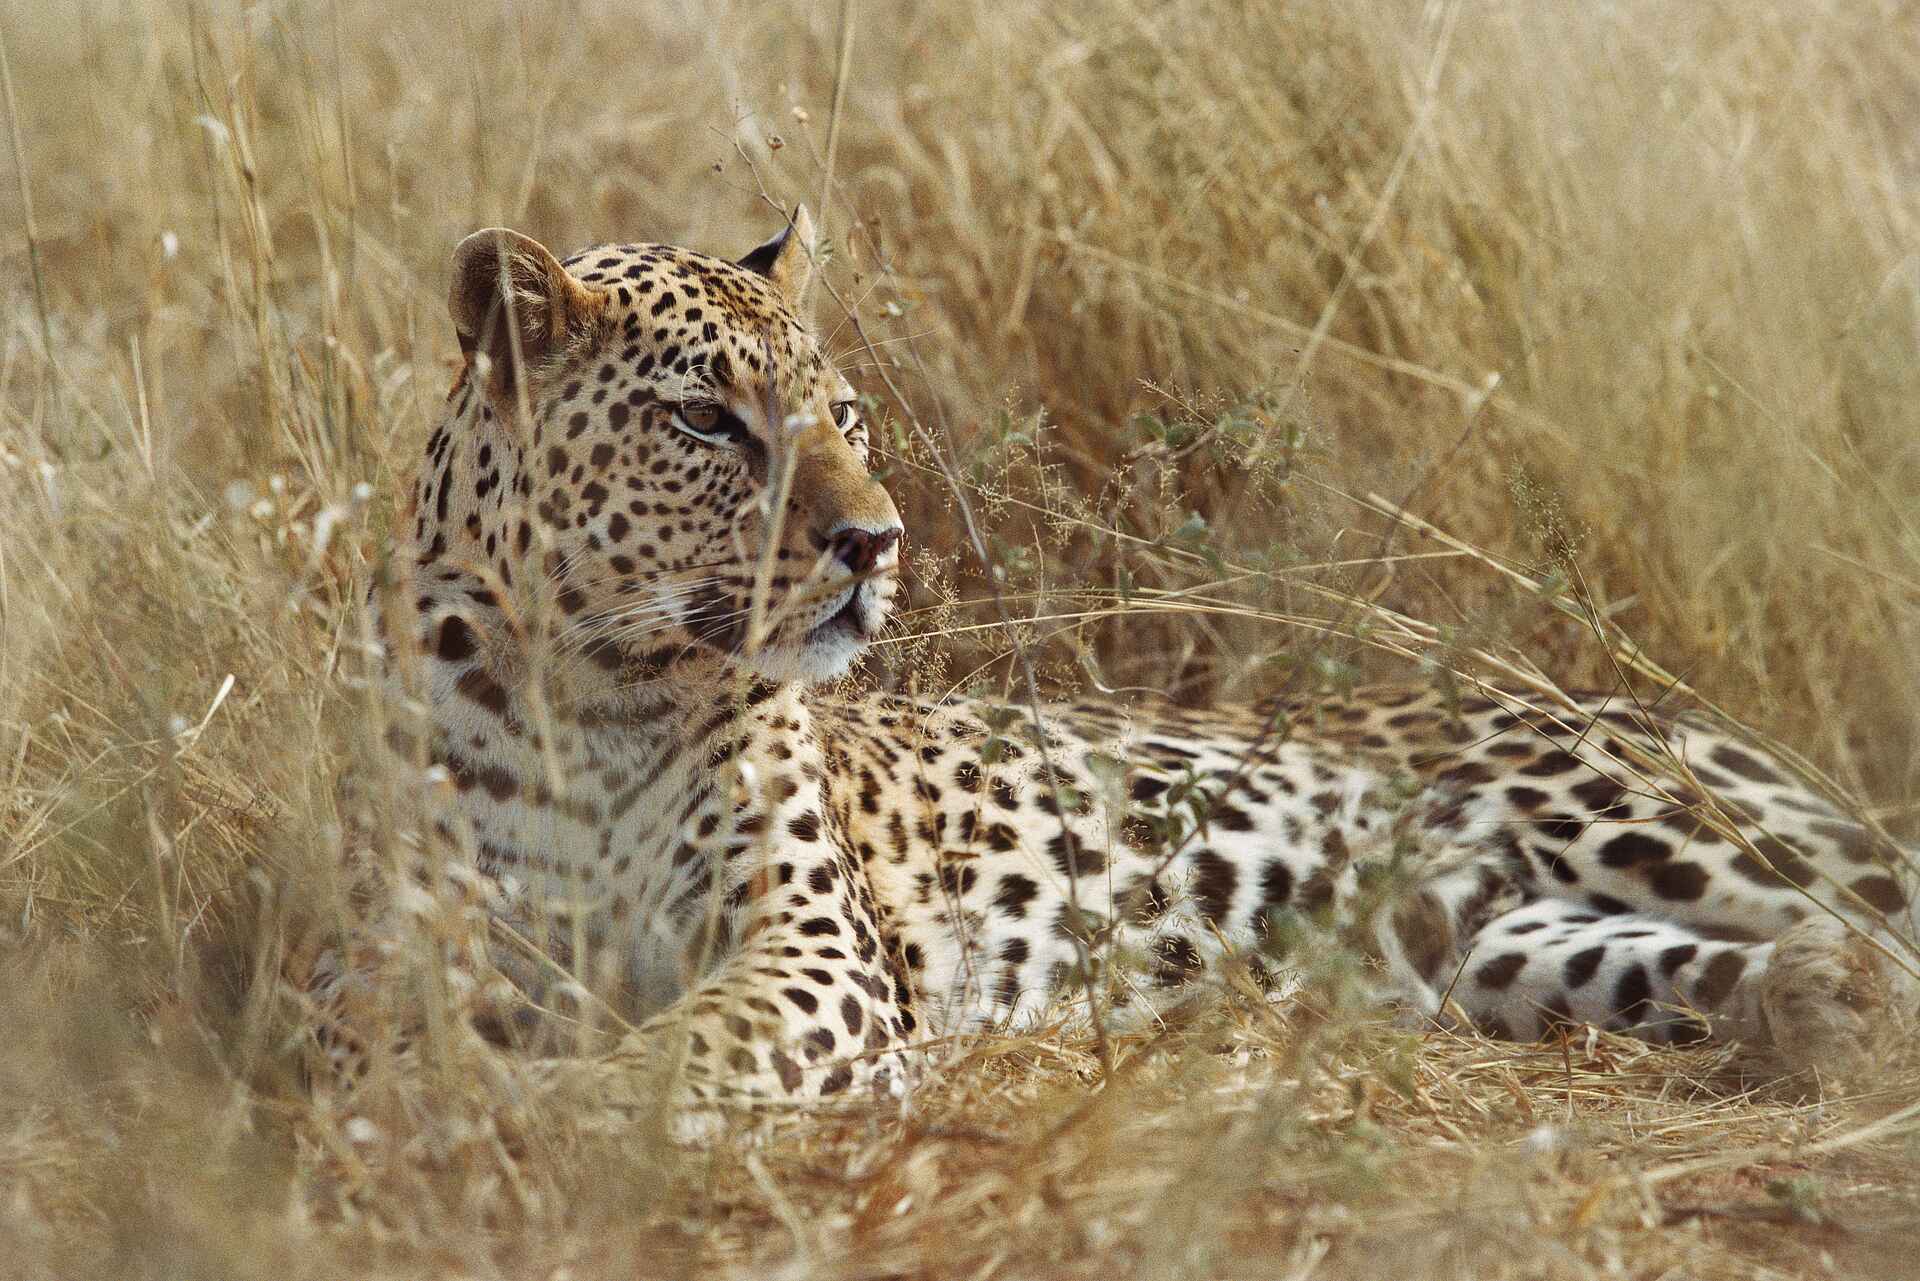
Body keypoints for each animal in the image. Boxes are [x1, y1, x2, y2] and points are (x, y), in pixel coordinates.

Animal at [328, 207, 1918, 1125]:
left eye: (845, 413)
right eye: (709, 423)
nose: (876, 541)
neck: (591, 694)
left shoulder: (815, 952)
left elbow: (684, 1048)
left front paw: (556, 1114)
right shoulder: (396, 956)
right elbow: (387, 1049)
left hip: (1633, 814)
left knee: (1872, 910)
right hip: (1504, 945)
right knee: (1714, 960)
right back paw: (1809, 1004)